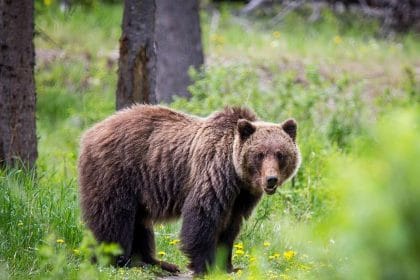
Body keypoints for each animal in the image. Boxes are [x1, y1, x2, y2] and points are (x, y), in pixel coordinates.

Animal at [79, 104, 300, 274]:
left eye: (280, 154)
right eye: (259, 154)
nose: (271, 180)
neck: (236, 175)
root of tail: (91, 131)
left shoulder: (240, 198)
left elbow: (230, 228)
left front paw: (229, 266)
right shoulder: (213, 174)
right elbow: (202, 218)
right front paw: (206, 266)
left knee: (140, 222)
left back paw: (156, 263)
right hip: (117, 172)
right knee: (114, 217)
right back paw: (117, 260)